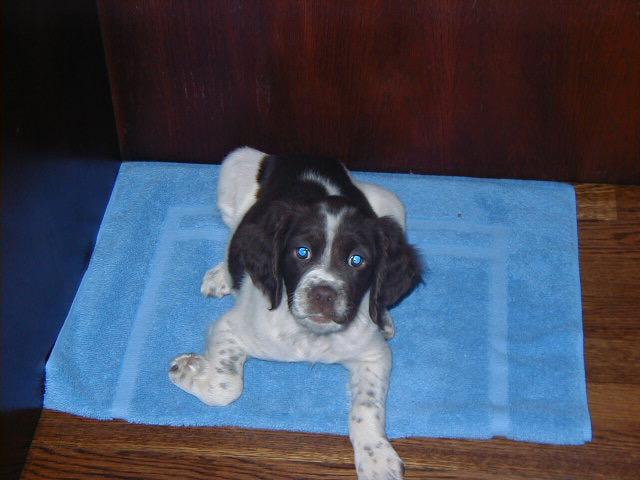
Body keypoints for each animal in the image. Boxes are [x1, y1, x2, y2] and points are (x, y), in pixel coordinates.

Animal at [170, 147, 422, 480]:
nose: (323, 295)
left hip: (393, 206)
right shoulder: (230, 328)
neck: (311, 336)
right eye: (302, 253)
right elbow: (226, 387)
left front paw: (376, 456)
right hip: (233, 168)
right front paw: (188, 370)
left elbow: (367, 407)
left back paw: (384, 318)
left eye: (357, 260)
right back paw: (221, 275)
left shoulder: (374, 356)